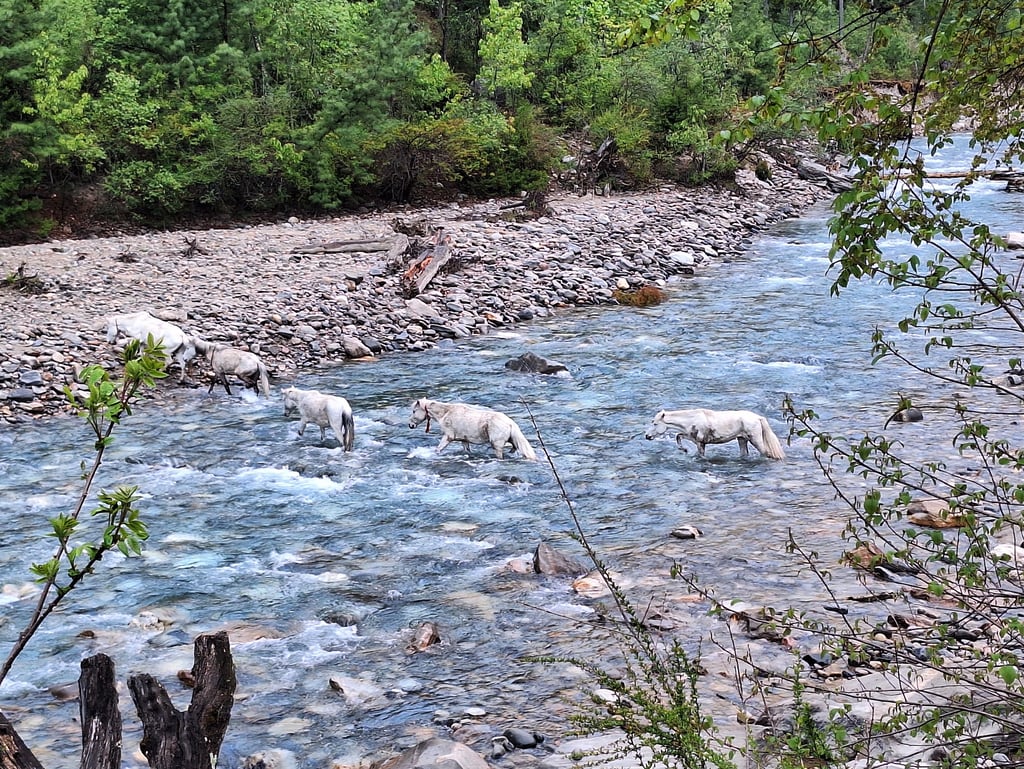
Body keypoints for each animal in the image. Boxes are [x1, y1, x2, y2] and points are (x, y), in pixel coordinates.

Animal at [408, 398, 537, 460]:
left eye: (414, 411)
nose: (410, 425)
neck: (445, 413)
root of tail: (510, 423)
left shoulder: (448, 437)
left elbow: (438, 449)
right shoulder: (464, 440)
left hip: (497, 445)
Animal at [645, 408, 786, 460]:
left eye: (655, 424)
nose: (647, 436)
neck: (692, 420)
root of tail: (758, 417)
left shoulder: (700, 443)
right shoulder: (690, 437)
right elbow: (678, 436)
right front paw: (684, 449)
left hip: (755, 440)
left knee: (765, 453)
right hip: (741, 439)